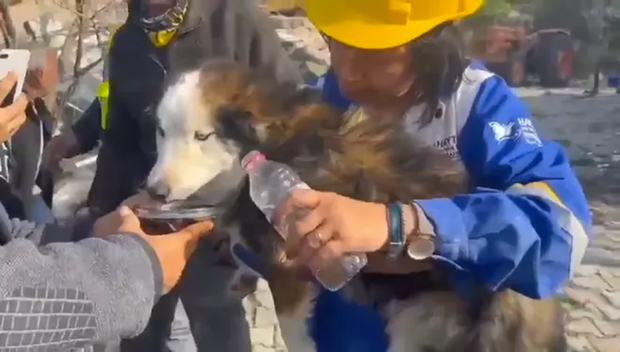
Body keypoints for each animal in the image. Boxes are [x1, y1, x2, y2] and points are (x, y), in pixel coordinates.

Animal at [147, 61, 568, 352]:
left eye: (203, 136)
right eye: (162, 132)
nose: (153, 190)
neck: (269, 140)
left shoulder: (290, 264)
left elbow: (292, 328)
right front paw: (241, 275)